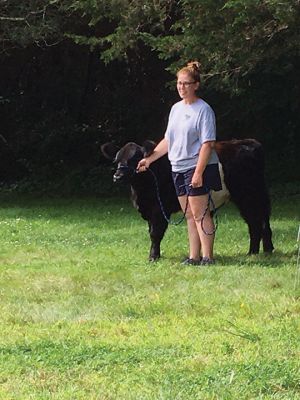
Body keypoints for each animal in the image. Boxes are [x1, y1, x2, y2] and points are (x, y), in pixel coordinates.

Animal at [101, 139, 274, 260]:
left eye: (135, 159)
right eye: (116, 160)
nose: (117, 176)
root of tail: (249, 142)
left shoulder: (159, 209)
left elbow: (155, 233)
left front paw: (153, 257)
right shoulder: (149, 209)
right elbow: (151, 231)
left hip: (250, 195)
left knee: (257, 222)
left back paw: (258, 252)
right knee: (256, 222)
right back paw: (256, 252)